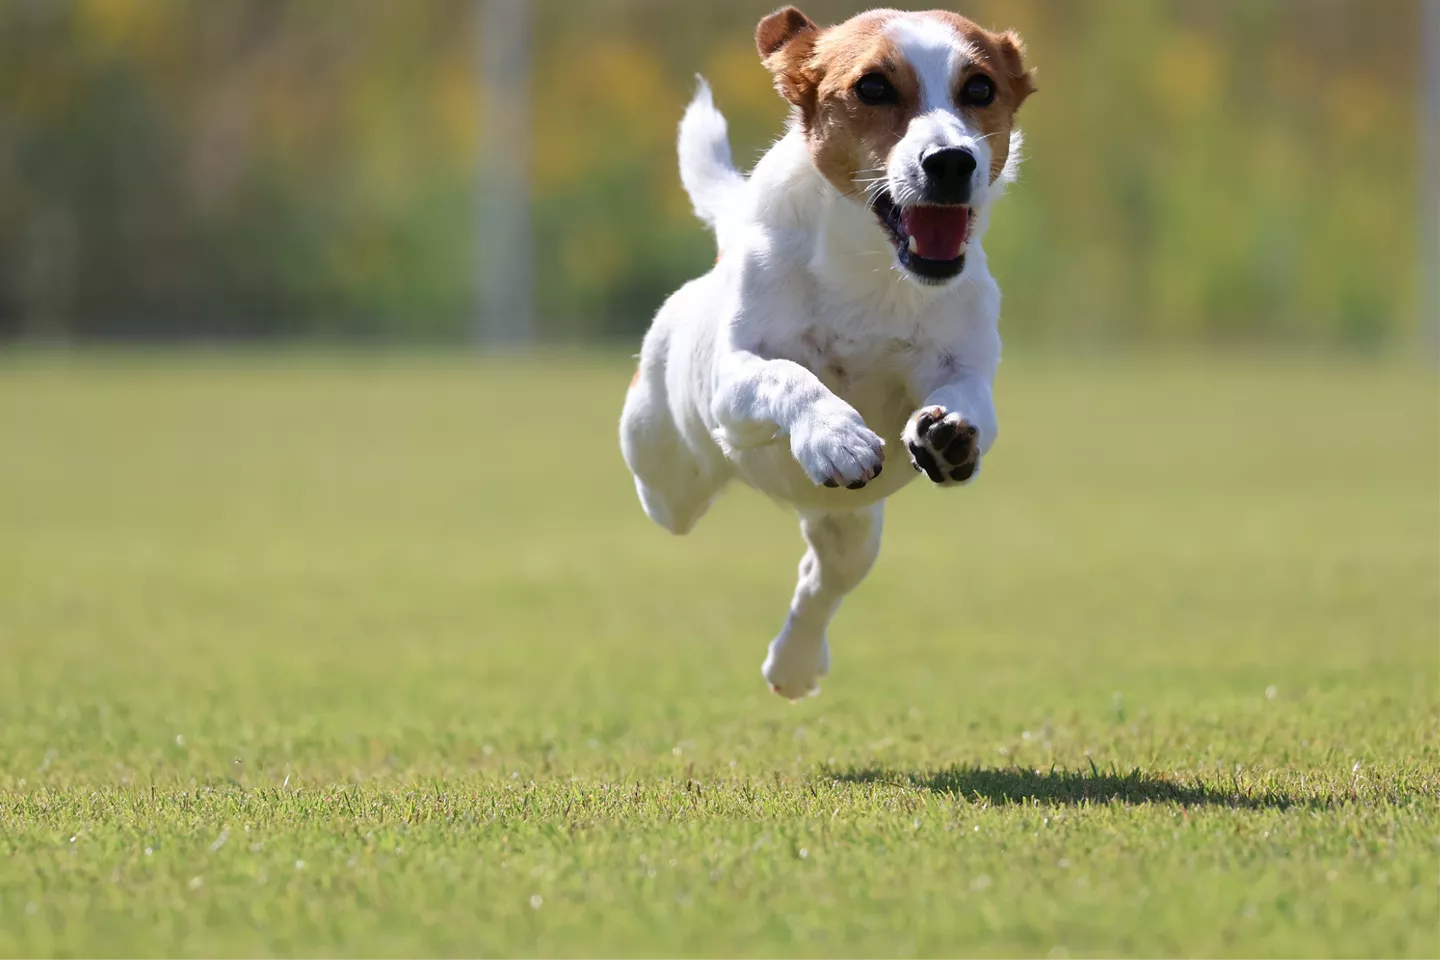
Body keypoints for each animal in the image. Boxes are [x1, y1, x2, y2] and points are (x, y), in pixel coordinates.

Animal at [619, 5, 1036, 699]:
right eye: (873, 87)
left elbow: (969, 399)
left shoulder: (967, 362)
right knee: (668, 496)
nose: (951, 161)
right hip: (663, 467)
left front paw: (949, 433)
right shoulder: (735, 378)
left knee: (820, 579)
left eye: (980, 88)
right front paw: (835, 436)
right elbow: (790, 376)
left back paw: (794, 666)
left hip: (851, 529)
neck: (870, 273)